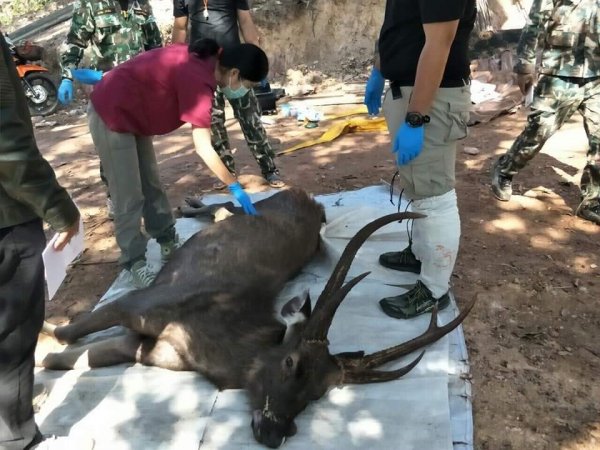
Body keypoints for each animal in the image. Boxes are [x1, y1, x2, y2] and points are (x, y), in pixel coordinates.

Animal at [39, 186, 476, 446]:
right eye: (291, 362)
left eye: (319, 393)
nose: (274, 432)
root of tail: (310, 199)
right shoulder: (140, 303)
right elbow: (69, 335)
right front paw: (45, 328)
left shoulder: (149, 348)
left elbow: (71, 359)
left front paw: (46, 359)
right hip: (257, 206)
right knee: (228, 203)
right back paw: (190, 203)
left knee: (224, 208)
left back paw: (192, 204)